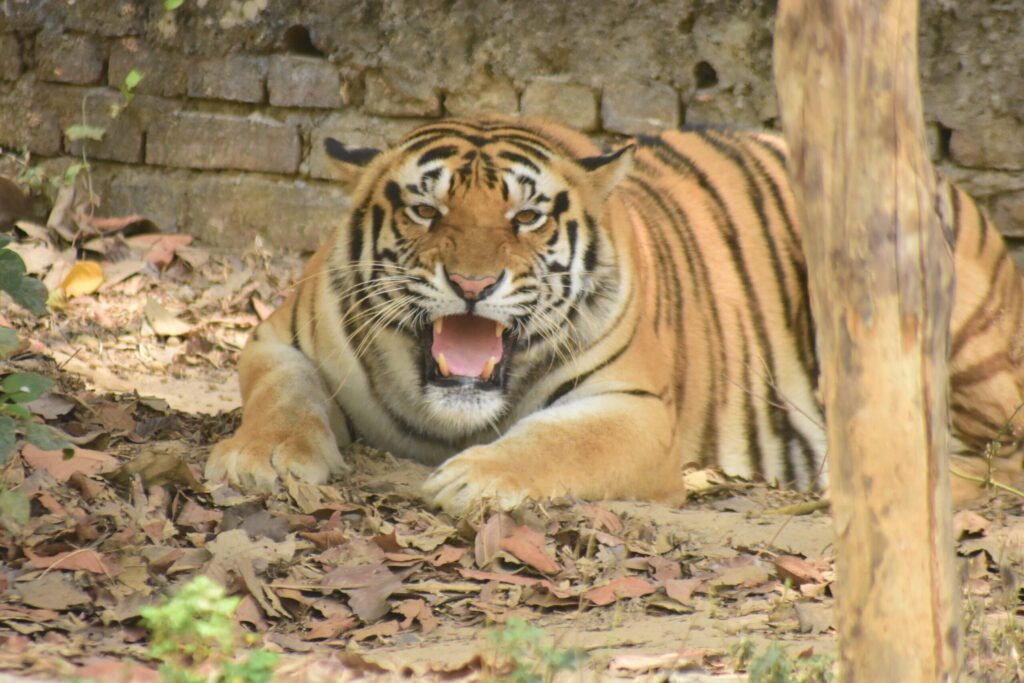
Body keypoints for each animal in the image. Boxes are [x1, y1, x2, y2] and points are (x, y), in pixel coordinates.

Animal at [203, 116, 1024, 511]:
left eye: (527, 217)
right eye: (426, 211)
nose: (472, 283)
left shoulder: (634, 405)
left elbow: (558, 443)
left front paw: (473, 481)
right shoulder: (279, 338)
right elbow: (282, 396)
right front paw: (262, 458)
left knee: (983, 454)